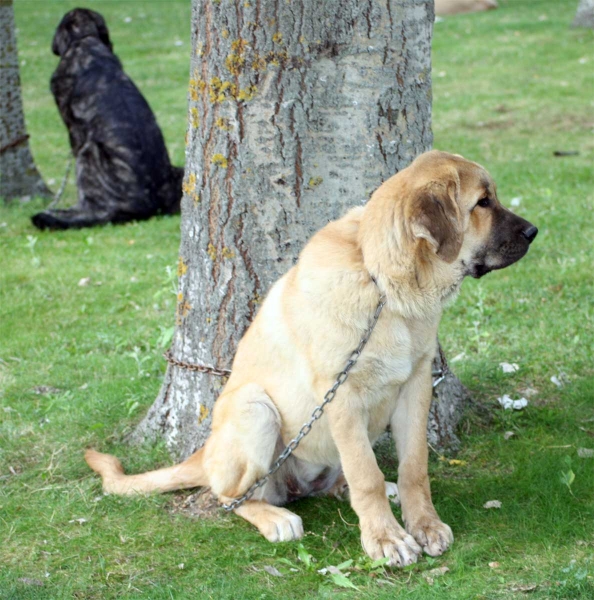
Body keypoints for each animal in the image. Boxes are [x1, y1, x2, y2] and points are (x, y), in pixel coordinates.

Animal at [85, 151, 536, 568]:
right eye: (482, 203)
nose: (534, 231)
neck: (384, 284)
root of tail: (204, 452)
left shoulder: (416, 385)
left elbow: (413, 467)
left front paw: (423, 524)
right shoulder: (343, 396)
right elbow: (366, 475)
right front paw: (385, 538)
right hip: (254, 409)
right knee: (230, 497)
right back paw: (275, 518)